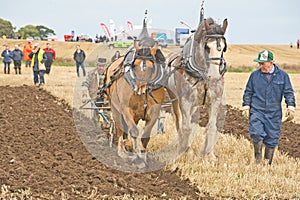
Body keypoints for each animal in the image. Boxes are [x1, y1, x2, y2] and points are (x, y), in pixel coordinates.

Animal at [165, 16, 229, 158]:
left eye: (223, 48)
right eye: (207, 47)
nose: (214, 76)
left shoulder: (215, 100)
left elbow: (212, 127)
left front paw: (209, 154)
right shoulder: (185, 101)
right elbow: (186, 127)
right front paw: (186, 151)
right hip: (175, 98)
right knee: (179, 121)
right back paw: (181, 144)